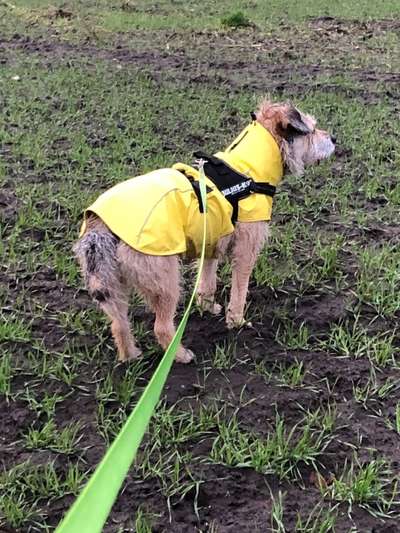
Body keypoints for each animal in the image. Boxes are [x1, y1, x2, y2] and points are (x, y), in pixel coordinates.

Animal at [74, 101, 334, 362]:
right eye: (311, 130)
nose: (333, 138)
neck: (249, 168)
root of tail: (101, 226)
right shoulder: (246, 250)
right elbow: (240, 288)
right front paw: (236, 321)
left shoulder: (210, 244)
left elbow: (208, 282)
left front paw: (207, 307)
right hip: (165, 279)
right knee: (161, 327)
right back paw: (180, 355)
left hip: (112, 284)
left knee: (118, 324)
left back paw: (131, 356)